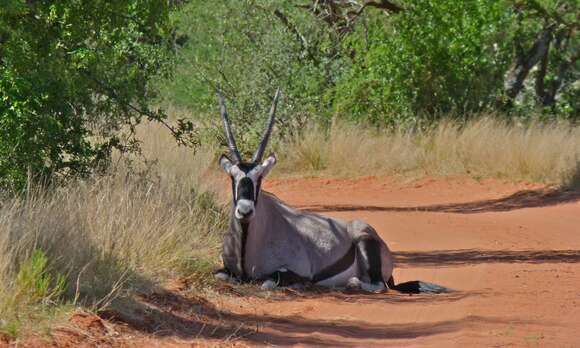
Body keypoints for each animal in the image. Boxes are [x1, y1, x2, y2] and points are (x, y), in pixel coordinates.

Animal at [213, 89, 448, 294]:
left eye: (259, 178)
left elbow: (267, 282)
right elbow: (220, 275)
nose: (245, 211)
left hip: (365, 245)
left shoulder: (295, 271)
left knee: (374, 285)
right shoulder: (226, 270)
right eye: (233, 177)